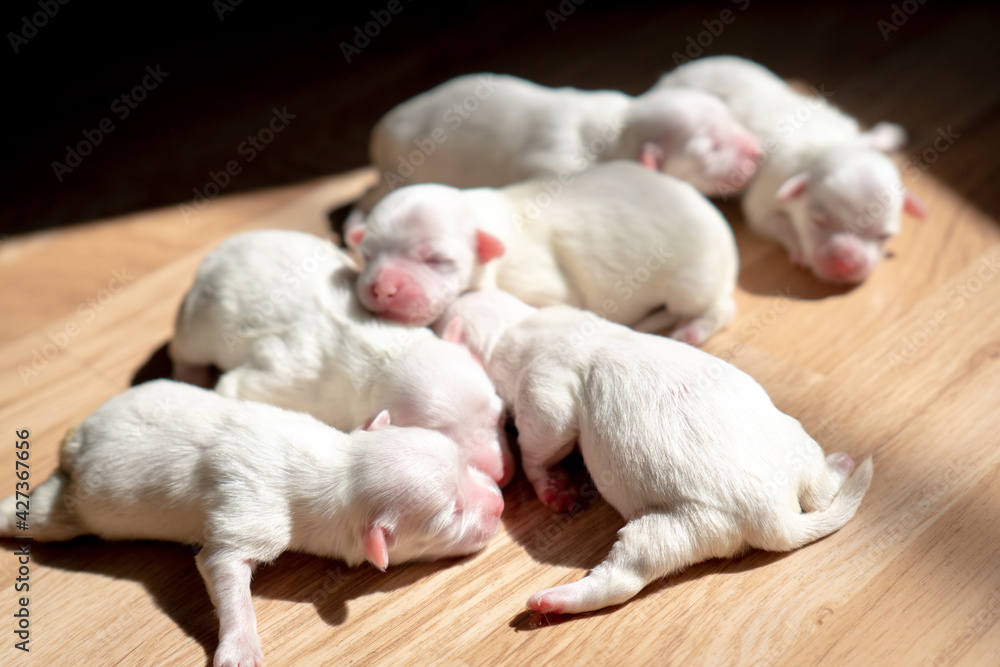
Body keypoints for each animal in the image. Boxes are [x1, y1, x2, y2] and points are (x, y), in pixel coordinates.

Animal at [0, 380, 500, 667]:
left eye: (463, 461)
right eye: (452, 515)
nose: (498, 505)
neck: (336, 467)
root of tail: (76, 440)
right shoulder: (253, 517)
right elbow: (222, 566)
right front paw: (241, 649)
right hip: (76, 506)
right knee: (40, 514)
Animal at [169, 230, 512, 486]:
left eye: (501, 418)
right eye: (443, 440)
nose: (501, 476)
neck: (382, 356)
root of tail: (215, 254)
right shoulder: (286, 384)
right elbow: (235, 387)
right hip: (196, 321)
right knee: (185, 348)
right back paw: (189, 375)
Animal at [434, 292, 872, 616]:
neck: (516, 325)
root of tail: (774, 515)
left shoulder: (543, 392)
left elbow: (540, 445)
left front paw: (552, 486)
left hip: (675, 528)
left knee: (623, 578)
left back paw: (555, 600)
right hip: (796, 446)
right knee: (821, 490)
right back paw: (842, 463)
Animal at [652, 55, 924, 284]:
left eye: (885, 235)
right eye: (818, 220)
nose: (845, 264)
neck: (826, 147)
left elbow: (870, 139)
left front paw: (887, 135)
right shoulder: (766, 194)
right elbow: (773, 221)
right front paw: (799, 247)